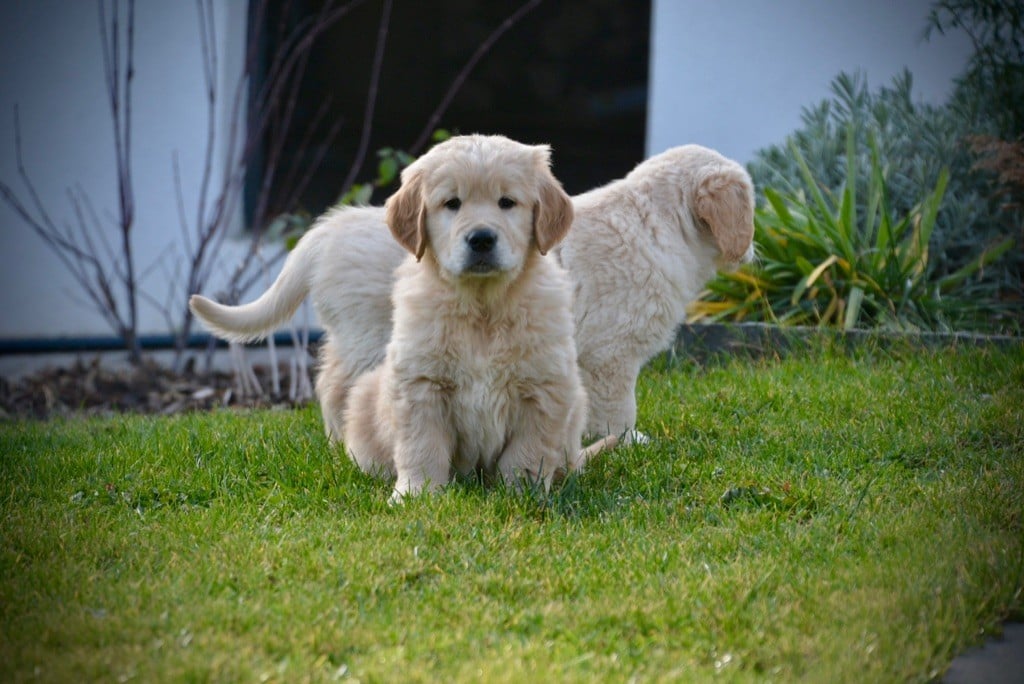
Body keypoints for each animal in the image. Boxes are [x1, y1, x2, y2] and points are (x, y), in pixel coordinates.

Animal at [193, 133, 593, 499]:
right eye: (452, 204)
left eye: (507, 203)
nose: (481, 239)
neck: (482, 308)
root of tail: (329, 227)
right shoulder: (419, 381)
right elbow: (422, 444)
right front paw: (417, 495)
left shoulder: (544, 386)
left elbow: (526, 452)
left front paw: (522, 496)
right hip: (363, 339)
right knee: (333, 385)